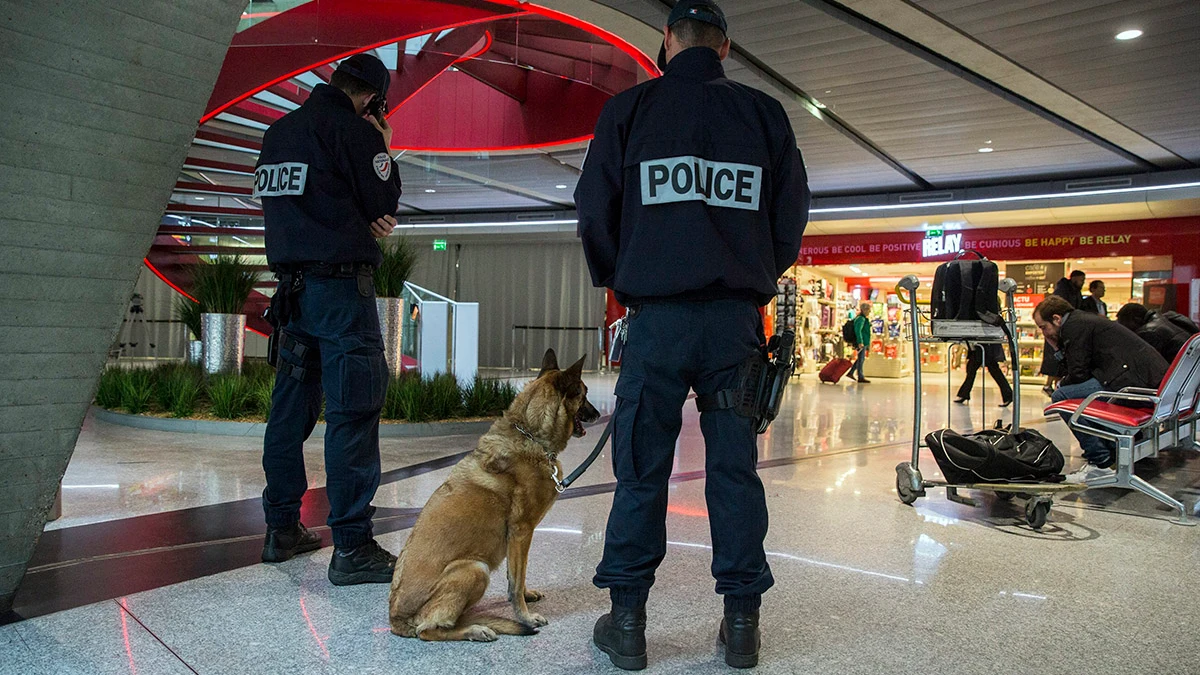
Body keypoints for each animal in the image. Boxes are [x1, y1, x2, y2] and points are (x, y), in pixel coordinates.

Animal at [388, 348, 600, 638]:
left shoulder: (518, 539)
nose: (599, 414)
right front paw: (525, 616)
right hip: (476, 569)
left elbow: (517, 576)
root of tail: (395, 618)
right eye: (584, 393)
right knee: (428, 630)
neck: (530, 433)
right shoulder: (521, 532)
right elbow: (516, 581)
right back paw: (476, 630)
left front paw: (525, 596)